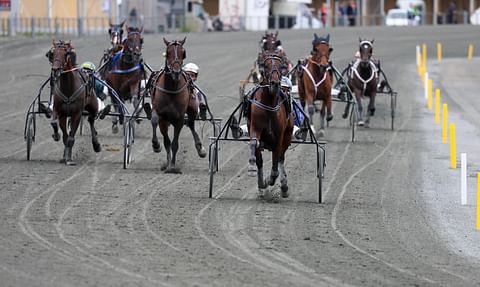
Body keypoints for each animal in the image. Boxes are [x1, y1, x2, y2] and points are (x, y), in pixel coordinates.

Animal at [149, 37, 207, 174]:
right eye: (167, 52)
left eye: (183, 53)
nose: (175, 72)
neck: (171, 88)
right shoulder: (161, 116)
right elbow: (163, 137)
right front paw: (156, 146)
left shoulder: (179, 118)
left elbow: (175, 143)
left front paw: (173, 167)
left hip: (192, 109)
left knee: (191, 123)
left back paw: (200, 148)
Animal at [249, 51, 294, 200]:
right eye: (266, 66)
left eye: (281, 67)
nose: (275, 83)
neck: (268, 104)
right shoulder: (255, 128)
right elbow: (255, 148)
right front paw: (259, 180)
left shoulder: (279, 136)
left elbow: (275, 166)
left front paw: (270, 180)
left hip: (288, 135)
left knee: (280, 158)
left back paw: (284, 186)